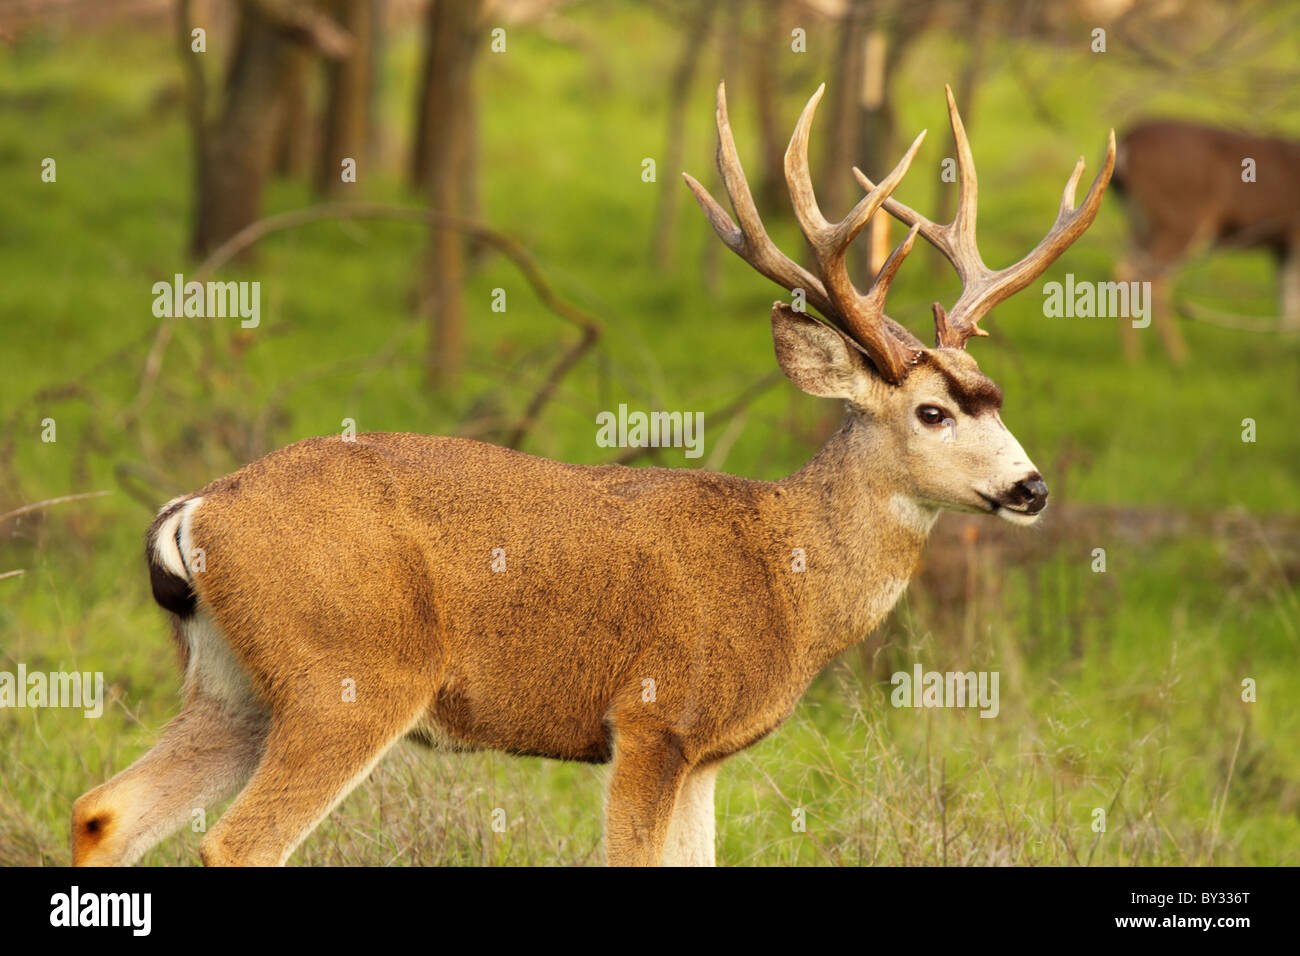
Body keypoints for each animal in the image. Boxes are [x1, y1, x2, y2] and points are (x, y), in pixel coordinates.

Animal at [68, 83, 1107, 868]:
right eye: (933, 411)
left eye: (997, 398)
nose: (1033, 489)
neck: (785, 577)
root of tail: (196, 510)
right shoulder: (651, 718)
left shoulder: (706, 753)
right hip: (347, 677)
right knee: (234, 843)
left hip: (235, 688)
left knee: (102, 812)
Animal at [1107, 119, 1300, 358]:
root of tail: (1127, 143)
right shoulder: (1294, 233)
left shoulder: (1282, 244)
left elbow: (1287, 297)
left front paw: (1285, 343)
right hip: (1180, 218)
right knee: (1153, 279)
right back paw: (1179, 356)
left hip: (1140, 225)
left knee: (1123, 269)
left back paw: (1134, 356)